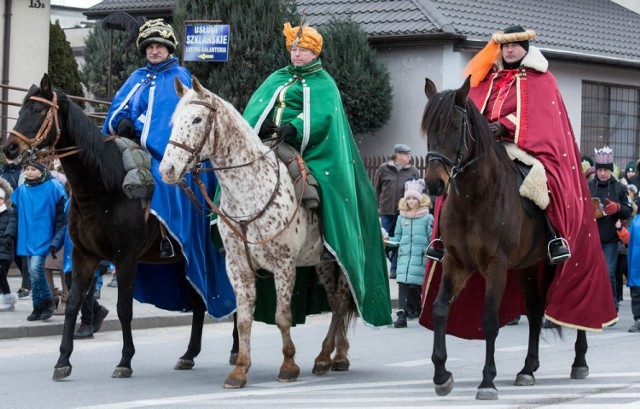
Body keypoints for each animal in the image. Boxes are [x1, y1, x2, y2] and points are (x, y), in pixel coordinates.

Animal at [2, 72, 238, 380]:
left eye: (39, 110)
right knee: (198, 301)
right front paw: (63, 360)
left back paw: (236, 351)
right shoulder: (84, 255)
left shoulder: (125, 257)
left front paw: (125, 360)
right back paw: (189, 354)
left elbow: (124, 308)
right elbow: (73, 305)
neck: (102, 189)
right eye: (20, 109)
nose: (10, 148)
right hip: (186, 262)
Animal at [159, 75, 358, 386]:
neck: (250, 191)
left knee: (339, 303)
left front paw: (288, 365)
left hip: (338, 261)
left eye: (197, 119)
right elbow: (243, 319)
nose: (167, 170)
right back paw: (338, 355)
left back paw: (327, 357)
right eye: (174, 120)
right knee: (338, 304)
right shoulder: (237, 265)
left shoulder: (284, 263)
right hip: (323, 263)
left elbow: (283, 316)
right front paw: (240, 369)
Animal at [422, 76, 588, 398]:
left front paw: (487, 381)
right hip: (527, 267)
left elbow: (489, 320)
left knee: (576, 305)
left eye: (456, 127)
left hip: (566, 264)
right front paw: (441, 375)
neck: (475, 198)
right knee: (535, 310)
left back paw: (580, 361)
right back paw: (527, 368)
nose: (434, 184)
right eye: (428, 129)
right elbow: (439, 309)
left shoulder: (495, 266)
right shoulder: (455, 263)